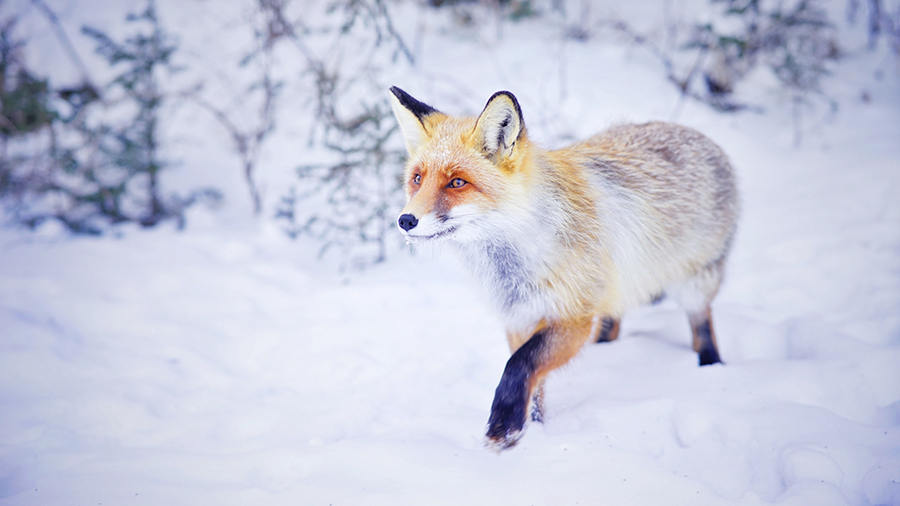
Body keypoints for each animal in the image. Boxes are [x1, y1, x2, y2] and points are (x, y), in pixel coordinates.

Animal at [390, 87, 740, 450]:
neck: (516, 265)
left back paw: (710, 366)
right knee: (614, 321)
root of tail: (701, 137)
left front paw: (504, 426)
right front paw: (527, 433)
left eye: (457, 182)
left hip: (695, 283)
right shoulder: (520, 318)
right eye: (417, 179)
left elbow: (519, 365)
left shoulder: (573, 316)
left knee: (702, 325)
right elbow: (533, 383)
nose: (405, 220)